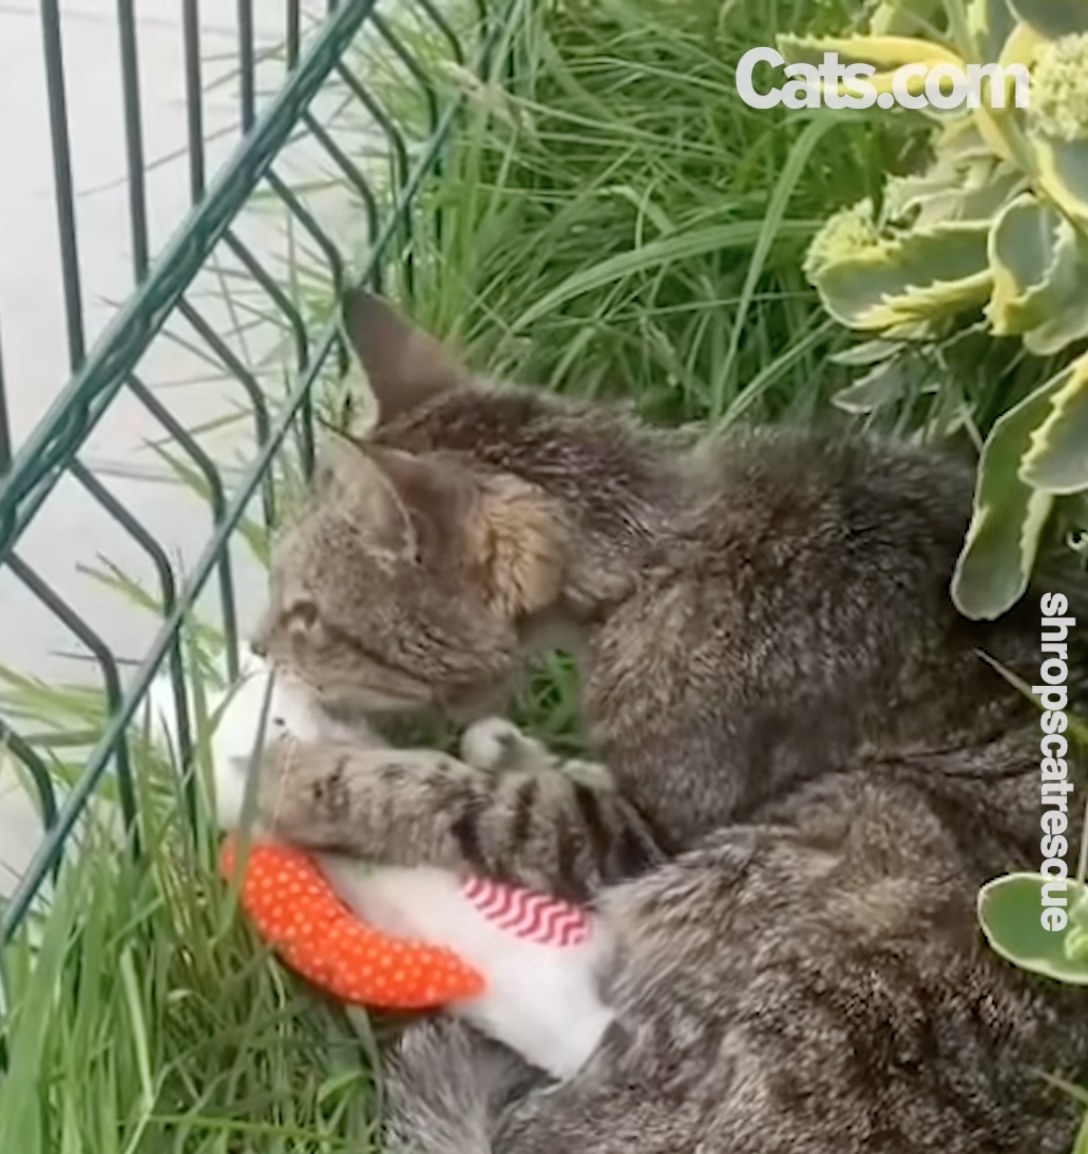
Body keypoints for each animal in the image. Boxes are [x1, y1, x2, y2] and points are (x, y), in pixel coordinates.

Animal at [251, 290, 1088, 1154]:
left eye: (306, 615)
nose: (253, 644)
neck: (663, 543)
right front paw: (509, 748)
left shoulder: (641, 828)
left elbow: (471, 805)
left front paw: (296, 774)